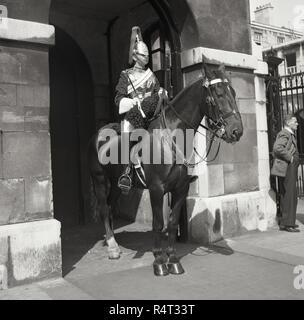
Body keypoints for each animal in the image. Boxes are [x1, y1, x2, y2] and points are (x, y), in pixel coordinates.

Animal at [87, 62, 242, 276]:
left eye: (233, 92)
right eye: (218, 94)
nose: (237, 131)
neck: (172, 138)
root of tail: (100, 133)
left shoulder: (180, 188)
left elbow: (172, 222)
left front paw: (173, 259)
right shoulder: (156, 189)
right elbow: (159, 223)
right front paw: (159, 261)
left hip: (118, 185)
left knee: (110, 207)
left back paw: (112, 242)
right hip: (100, 180)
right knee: (103, 208)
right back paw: (112, 247)